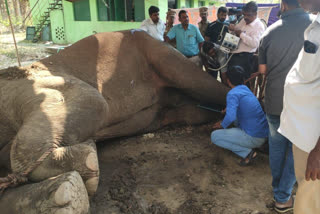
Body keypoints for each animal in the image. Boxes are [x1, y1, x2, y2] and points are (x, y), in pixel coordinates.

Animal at [0, 30, 229, 214]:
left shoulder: (34, 83)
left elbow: (94, 101)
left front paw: (89, 162)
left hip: (159, 52)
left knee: (200, 83)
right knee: (191, 111)